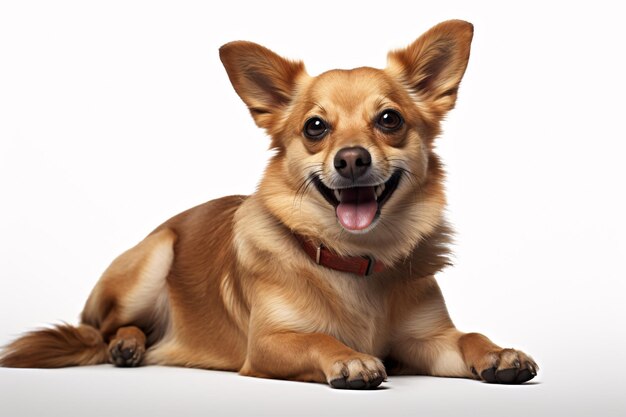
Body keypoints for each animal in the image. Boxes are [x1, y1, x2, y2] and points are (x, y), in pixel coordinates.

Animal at [0, 20, 536, 386]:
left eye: (389, 119)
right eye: (315, 127)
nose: (352, 159)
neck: (355, 258)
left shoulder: (426, 343)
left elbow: (467, 337)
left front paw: (497, 352)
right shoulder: (268, 345)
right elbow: (317, 337)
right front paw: (347, 356)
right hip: (153, 259)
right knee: (104, 329)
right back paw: (127, 345)